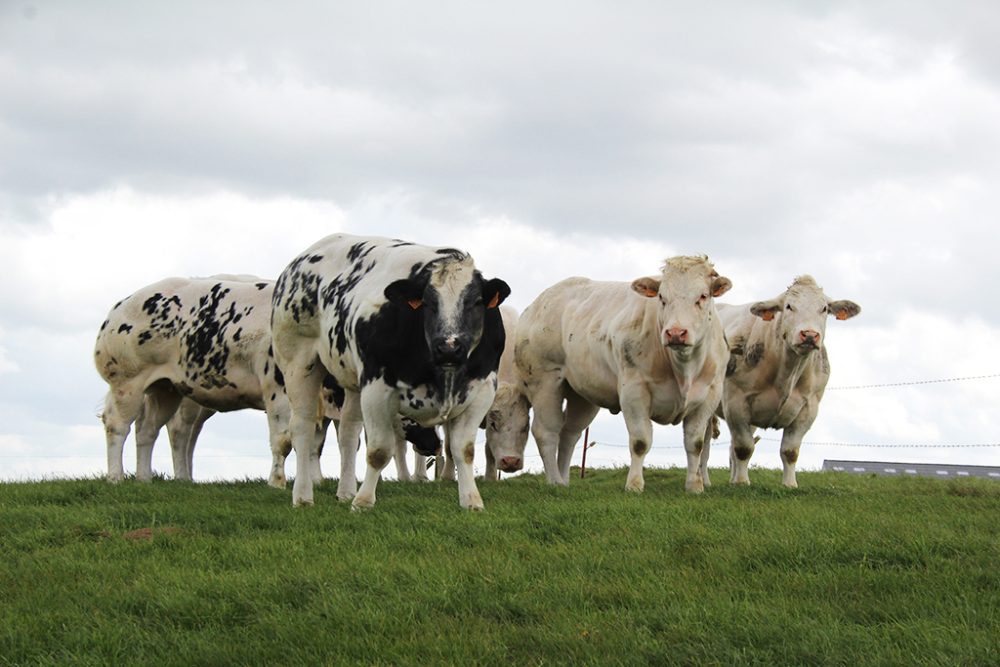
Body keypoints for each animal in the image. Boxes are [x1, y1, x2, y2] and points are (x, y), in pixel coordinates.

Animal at [268, 235, 508, 512]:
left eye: (476, 302)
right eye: (428, 303)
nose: (449, 346)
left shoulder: (482, 390)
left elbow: (464, 449)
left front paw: (471, 501)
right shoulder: (377, 388)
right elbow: (380, 451)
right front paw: (363, 502)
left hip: (353, 381)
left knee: (348, 433)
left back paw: (346, 491)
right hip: (298, 364)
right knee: (302, 428)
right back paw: (303, 496)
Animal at [512, 258, 732, 494]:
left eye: (703, 296)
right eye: (662, 297)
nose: (675, 333)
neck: (683, 368)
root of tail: (539, 302)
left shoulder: (709, 396)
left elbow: (695, 443)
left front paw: (694, 486)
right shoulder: (633, 391)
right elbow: (640, 441)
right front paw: (634, 484)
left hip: (582, 395)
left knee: (569, 434)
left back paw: (564, 480)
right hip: (544, 382)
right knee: (547, 432)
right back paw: (554, 480)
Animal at [720, 274, 860, 488]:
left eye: (824, 308)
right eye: (788, 306)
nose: (809, 335)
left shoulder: (808, 409)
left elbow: (790, 451)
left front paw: (789, 484)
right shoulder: (735, 404)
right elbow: (744, 448)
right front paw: (742, 482)